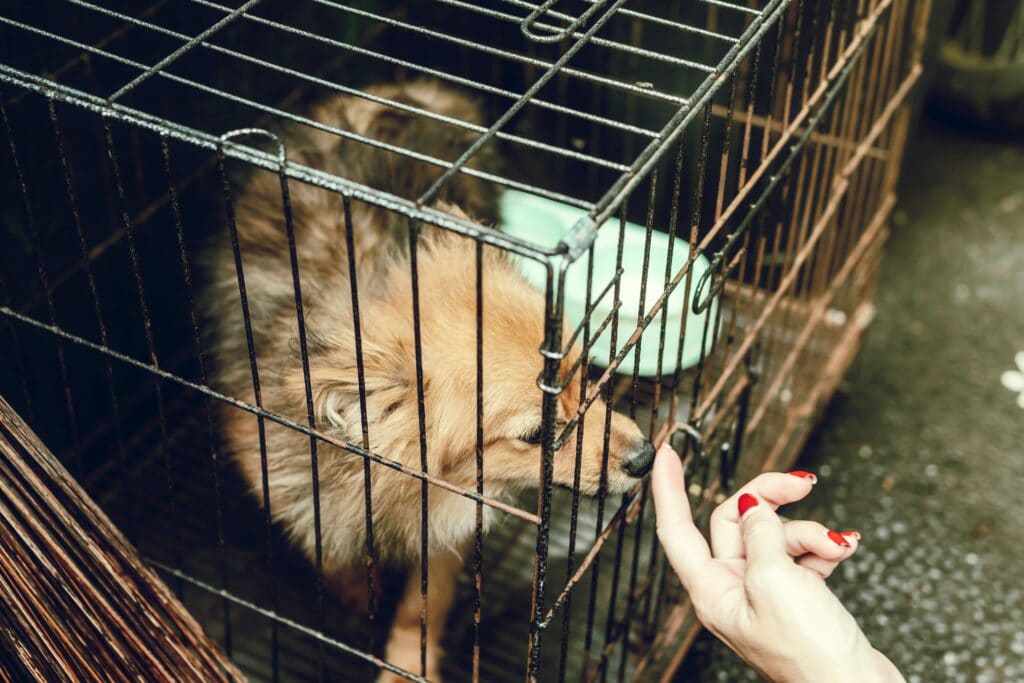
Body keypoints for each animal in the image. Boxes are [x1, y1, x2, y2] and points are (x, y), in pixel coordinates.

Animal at [204, 80, 655, 679]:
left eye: (587, 379)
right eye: (537, 434)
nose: (645, 456)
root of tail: (407, 88)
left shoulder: (452, 526)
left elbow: (422, 607)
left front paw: (406, 664)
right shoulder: (285, 484)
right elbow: (329, 552)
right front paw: (357, 589)